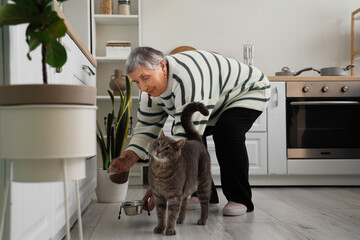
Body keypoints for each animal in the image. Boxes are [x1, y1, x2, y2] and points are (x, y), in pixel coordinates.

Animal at [148, 102, 212, 235]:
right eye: (158, 143)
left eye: (167, 148)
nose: (158, 151)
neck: (160, 171)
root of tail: (196, 140)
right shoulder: (158, 196)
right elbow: (161, 215)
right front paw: (160, 228)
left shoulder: (174, 196)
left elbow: (171, 214)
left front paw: (170, 229)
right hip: (186, 187)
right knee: (185, 202)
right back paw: (181, 219)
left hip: (203, 184)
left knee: (205, 203)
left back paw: (203, 219)